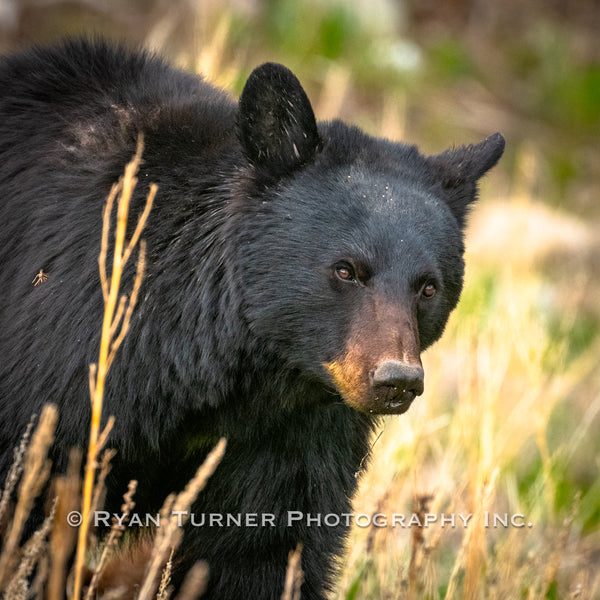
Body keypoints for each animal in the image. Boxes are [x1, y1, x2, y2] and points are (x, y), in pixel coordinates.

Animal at [0, 39, 504, 596]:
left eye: (428, 287)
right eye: (346, 269)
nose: (396, 379)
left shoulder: (291, 436)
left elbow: (261, 551)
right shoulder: (64, 368)